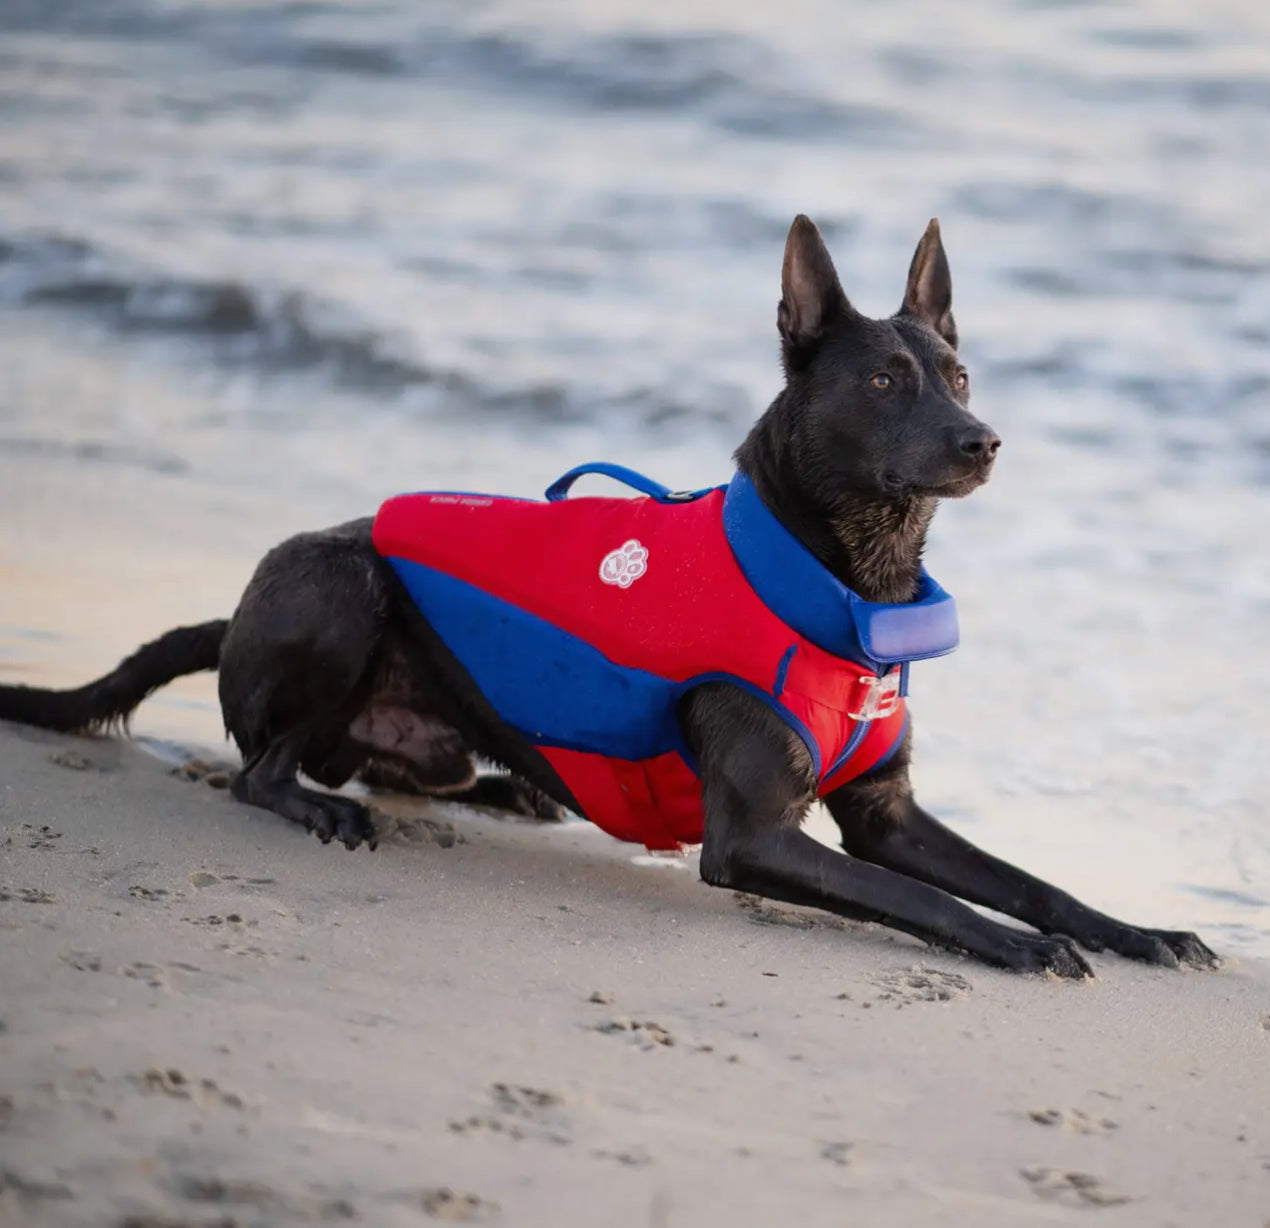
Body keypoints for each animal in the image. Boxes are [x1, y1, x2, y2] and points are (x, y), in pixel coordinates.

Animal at [0, 213, 1214, 980]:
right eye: (883, 380)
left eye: (959, 377)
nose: (984, 441)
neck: (842, 576)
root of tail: (234, 614)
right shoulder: (754, 838)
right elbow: (935, 902)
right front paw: (1019, 947)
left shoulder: (888, 815)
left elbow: (1026, 879)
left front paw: (1133, 930)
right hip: (336, 586)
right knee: (262, 768)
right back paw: (321, 805)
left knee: (398, 764)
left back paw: (508, 794)